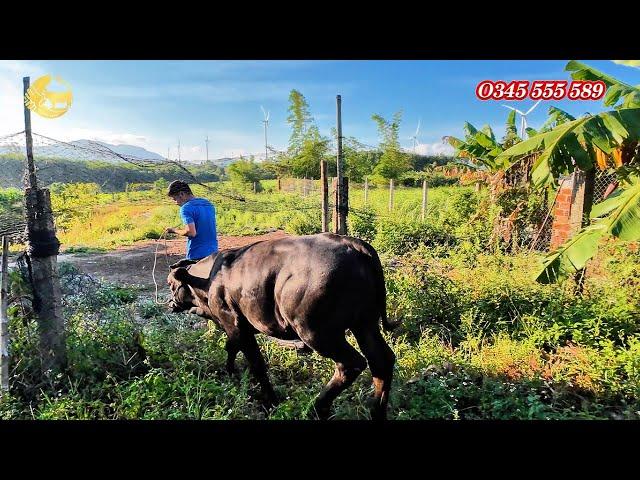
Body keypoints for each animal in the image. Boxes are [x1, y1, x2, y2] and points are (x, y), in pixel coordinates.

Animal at [166, 232, 396, 420]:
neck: (211, 277)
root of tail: (354, 245)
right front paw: (231, 373)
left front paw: (270, 401)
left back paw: (316, 408)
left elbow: (256, 364)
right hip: (365, 325)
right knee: (381, 361)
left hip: (318, 334)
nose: (170, 302)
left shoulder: (234, 325)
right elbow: (231, 348)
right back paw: (376, 411)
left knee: (351, 363)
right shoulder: (239, 329)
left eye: (170, 284)